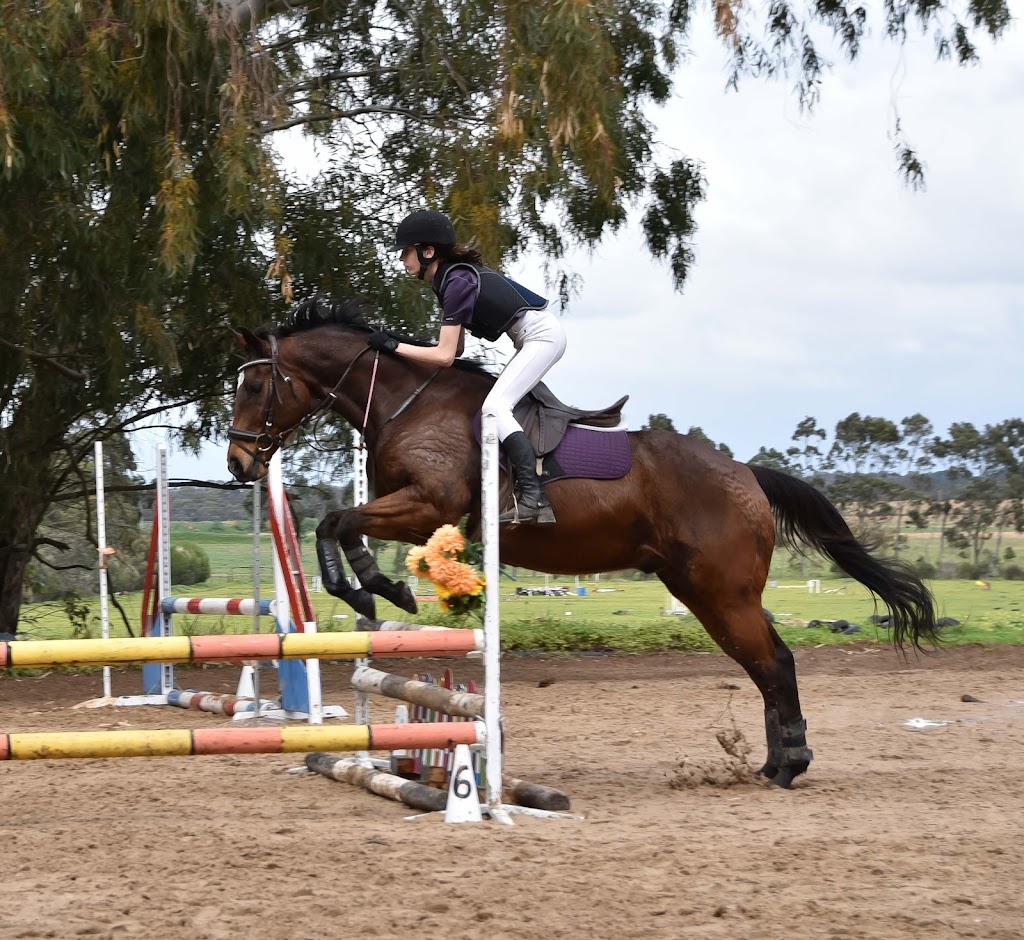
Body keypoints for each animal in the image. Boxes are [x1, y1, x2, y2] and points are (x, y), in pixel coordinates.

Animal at [228, 301, 937, 786]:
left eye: (255, 386)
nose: (238, 464)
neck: (407, 403)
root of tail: (745, 473)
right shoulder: (416, 512)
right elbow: (339, 523)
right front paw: (377, 589)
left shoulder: (432, 505)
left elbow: (335, 522)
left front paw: (374, 587)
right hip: (705, 592)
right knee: (766, 664)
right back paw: (771, 763)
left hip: (721, 591)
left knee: (775, 663)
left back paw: (789, 765)